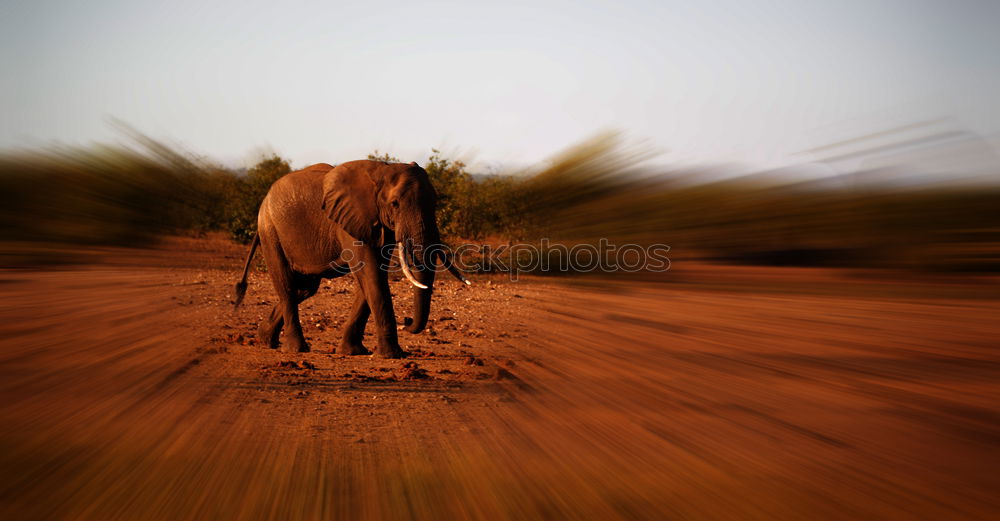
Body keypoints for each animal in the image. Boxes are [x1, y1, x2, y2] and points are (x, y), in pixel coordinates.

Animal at [233, 160, 468, 358]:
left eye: (435, 204)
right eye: (395, 204)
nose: (407, 320)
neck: (381, 171)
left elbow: (372, 278)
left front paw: (352, 352)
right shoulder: (350, 221)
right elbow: (372, 276)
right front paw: (392, 355)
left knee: (305, 289)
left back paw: (265, 339)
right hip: (270, 229)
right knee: (287, 286)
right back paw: (296, 349)